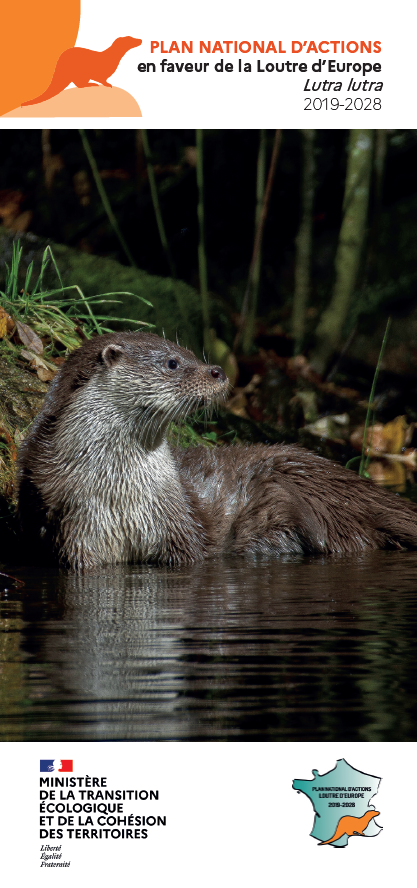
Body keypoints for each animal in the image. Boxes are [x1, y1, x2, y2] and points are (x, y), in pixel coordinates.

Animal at [17, 332, 417, 568]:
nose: (218, 371)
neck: (122, 494)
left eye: (190, 352)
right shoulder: (76, 528)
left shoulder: (178, 528)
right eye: (173, 363)